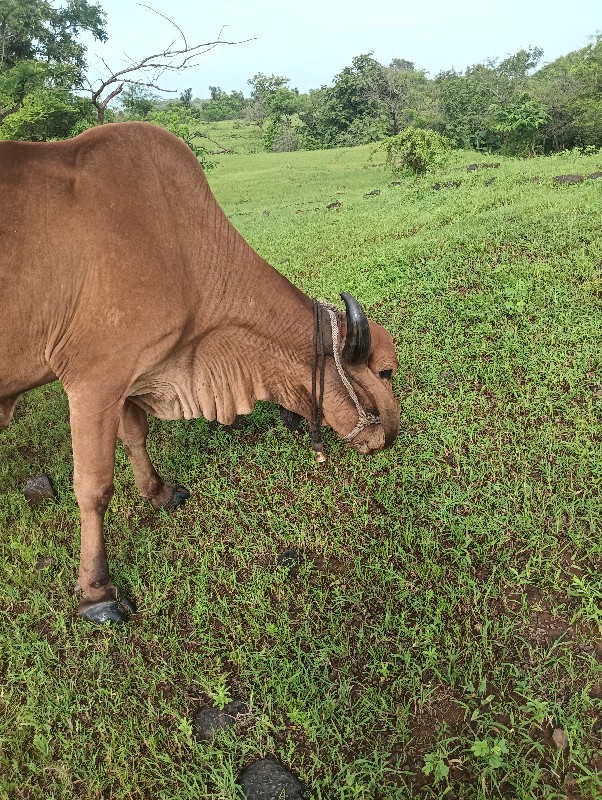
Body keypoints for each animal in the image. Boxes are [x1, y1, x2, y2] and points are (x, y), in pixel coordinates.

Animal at [2, 123, 400, 624]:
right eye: (385, 372)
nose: (390, 437)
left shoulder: (133, 375)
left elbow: (136, 437)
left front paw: (158, 493)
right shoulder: (94, 381)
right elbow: (94, 487)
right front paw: (97, 591)